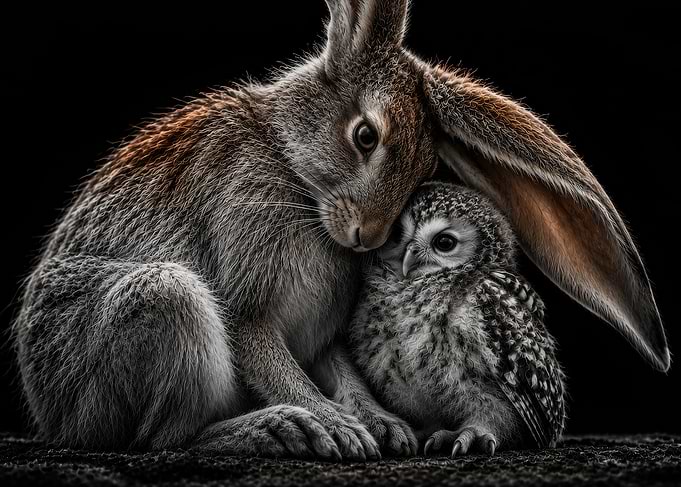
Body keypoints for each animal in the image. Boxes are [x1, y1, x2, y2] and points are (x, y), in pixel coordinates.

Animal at [13, 0, 668, 460]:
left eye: (428, 167)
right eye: (365, 136)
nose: (370, 237)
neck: (292, 170)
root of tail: (51, 416)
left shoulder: (326, 333)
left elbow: (338, 367)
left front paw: (384, 426)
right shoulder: (247, 280)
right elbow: (265, 354)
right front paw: (335, 426)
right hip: (158, 304)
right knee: (161, 440)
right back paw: (279, 429)